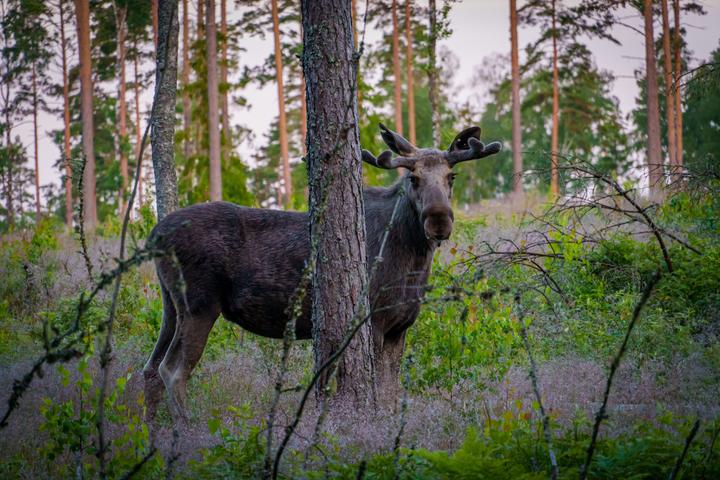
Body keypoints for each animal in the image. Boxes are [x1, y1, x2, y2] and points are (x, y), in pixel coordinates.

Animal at [143, 124, 501, 423]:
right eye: (413, 178)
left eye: (451, 177)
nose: (439, 220)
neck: (412, 263)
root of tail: (153, 235)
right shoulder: (372, 320)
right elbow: (376, 387)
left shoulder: (399, 327)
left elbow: (390, 391)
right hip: (200, 304)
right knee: (172, 370)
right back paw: (188, 430)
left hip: (171, 306)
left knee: (149, 369)